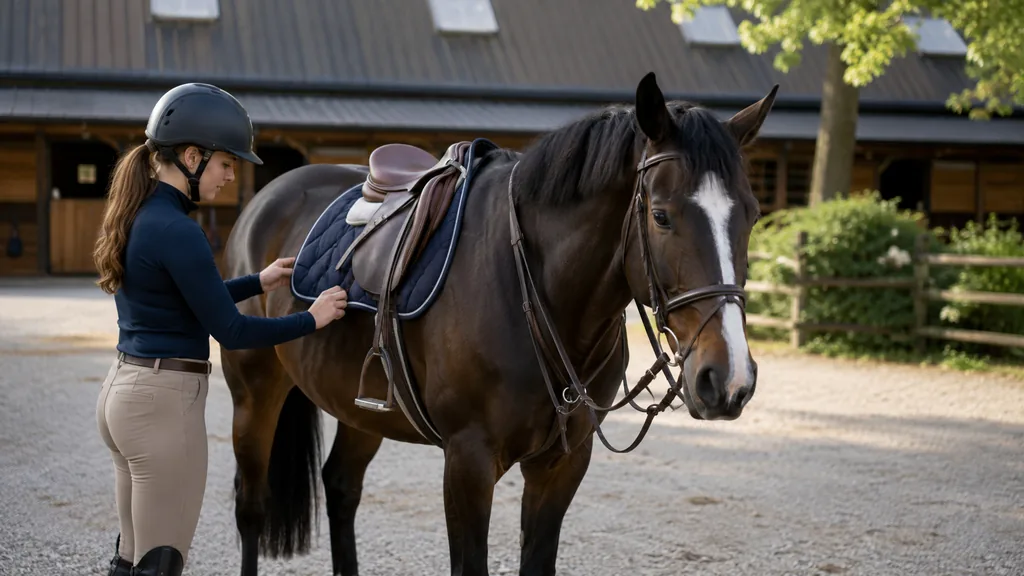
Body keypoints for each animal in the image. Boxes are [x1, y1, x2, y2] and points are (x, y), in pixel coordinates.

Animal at [220, 71, 777, 576]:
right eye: (661, 216)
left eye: (751, 216)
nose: (729, 380)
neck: (534, 293)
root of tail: (269, 195)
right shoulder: (468, 462)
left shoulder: (562, 465)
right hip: (254, 392)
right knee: (251, 507)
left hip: (365, 407)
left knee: (340, 488)